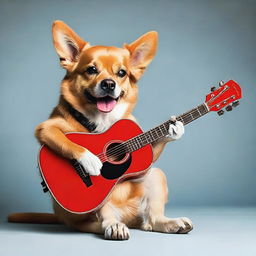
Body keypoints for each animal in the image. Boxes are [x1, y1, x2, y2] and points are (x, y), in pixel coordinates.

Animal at [7, 20, 192, 240]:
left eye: (121, 73)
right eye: (91, 70)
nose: (109, 84)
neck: (101, 121)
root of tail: (129, 219)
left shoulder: (146, 155)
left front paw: (173, 129)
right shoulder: (46, 127)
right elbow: (66, 141)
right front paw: (90, 160)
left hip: (155, 176)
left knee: (151, 220)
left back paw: (171, 223)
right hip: (94, 208)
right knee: (100, 220)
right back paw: (114, 226)